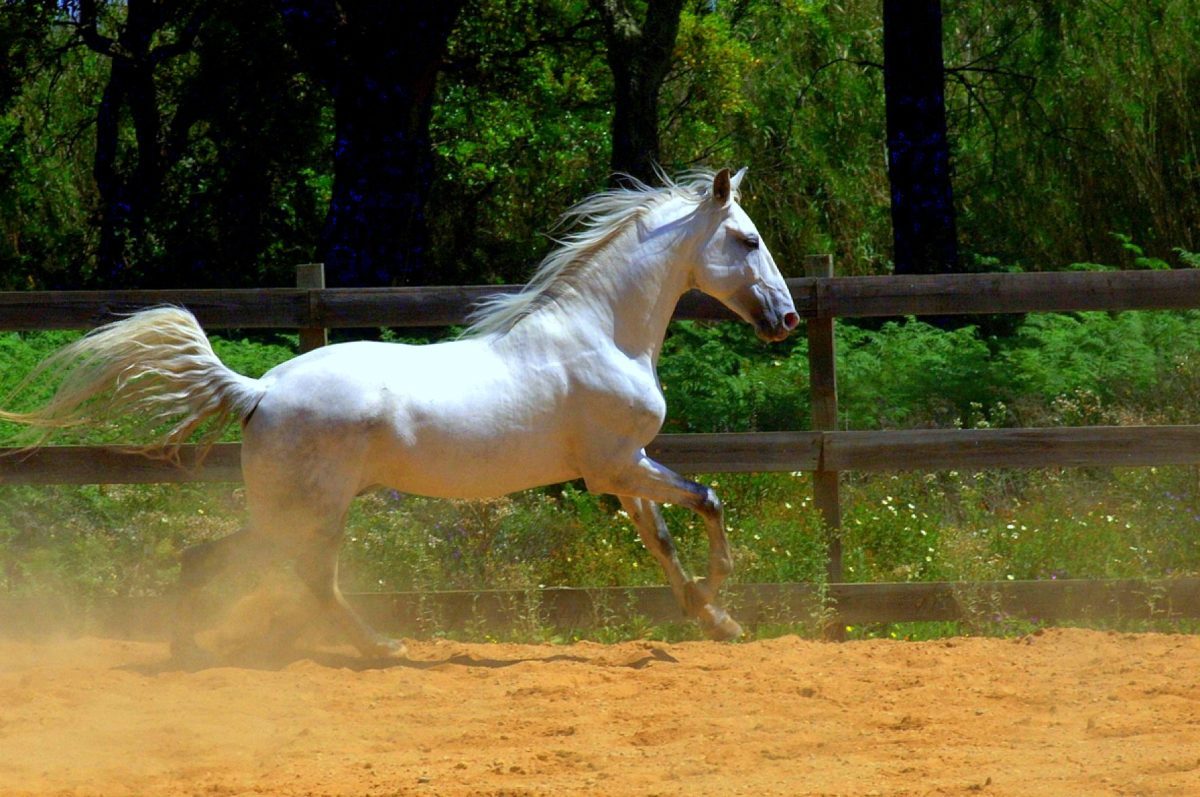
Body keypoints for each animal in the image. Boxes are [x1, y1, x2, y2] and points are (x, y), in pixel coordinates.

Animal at [7, 166, 806, 652]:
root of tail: (259, 391)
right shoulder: (617, 465)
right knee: (306, 579)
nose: (787, 319)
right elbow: (710, 499)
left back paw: (194, 648)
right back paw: (376, 647)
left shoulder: (620, 470)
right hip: (313, 511)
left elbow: (663, 536)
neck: (602, 332)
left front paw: (714, 618)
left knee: (212, 559)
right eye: (748, 239)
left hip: (293, 510)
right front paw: (722, 601)